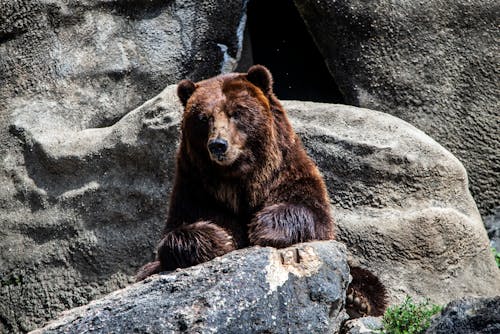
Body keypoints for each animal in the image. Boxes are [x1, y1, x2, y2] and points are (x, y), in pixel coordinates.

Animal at [137, 65, 386, 318]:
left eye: (236, 112)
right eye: (203, 118)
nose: (218, 145)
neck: (239, 180)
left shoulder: (287, 173)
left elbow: (311, 213)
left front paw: (262, 227)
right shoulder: (195, 189)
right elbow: (173, 238)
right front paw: (221, 237)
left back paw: (358, 299)